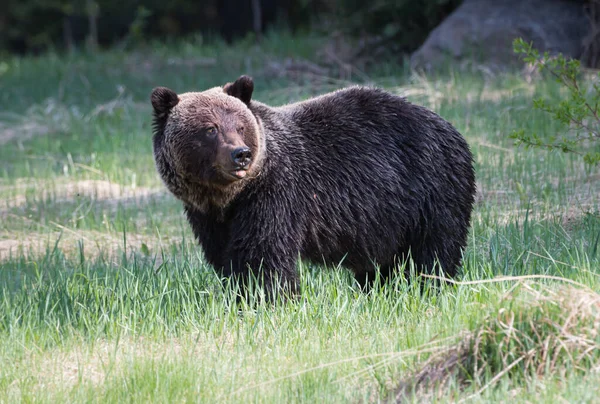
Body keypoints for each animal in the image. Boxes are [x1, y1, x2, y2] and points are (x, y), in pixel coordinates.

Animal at [151, 75, 478, 296]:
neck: (230, 197)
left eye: (240, 126)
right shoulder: (208, 216)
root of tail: (451, 128)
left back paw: (428, 286)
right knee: (383, 262)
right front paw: (238, 295)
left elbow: (263, 253)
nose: (240, 154)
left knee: (434, 250)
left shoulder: (276, 193)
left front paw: (267, 298)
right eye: (210, 129)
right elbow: (224, 257)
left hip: (431, 188)